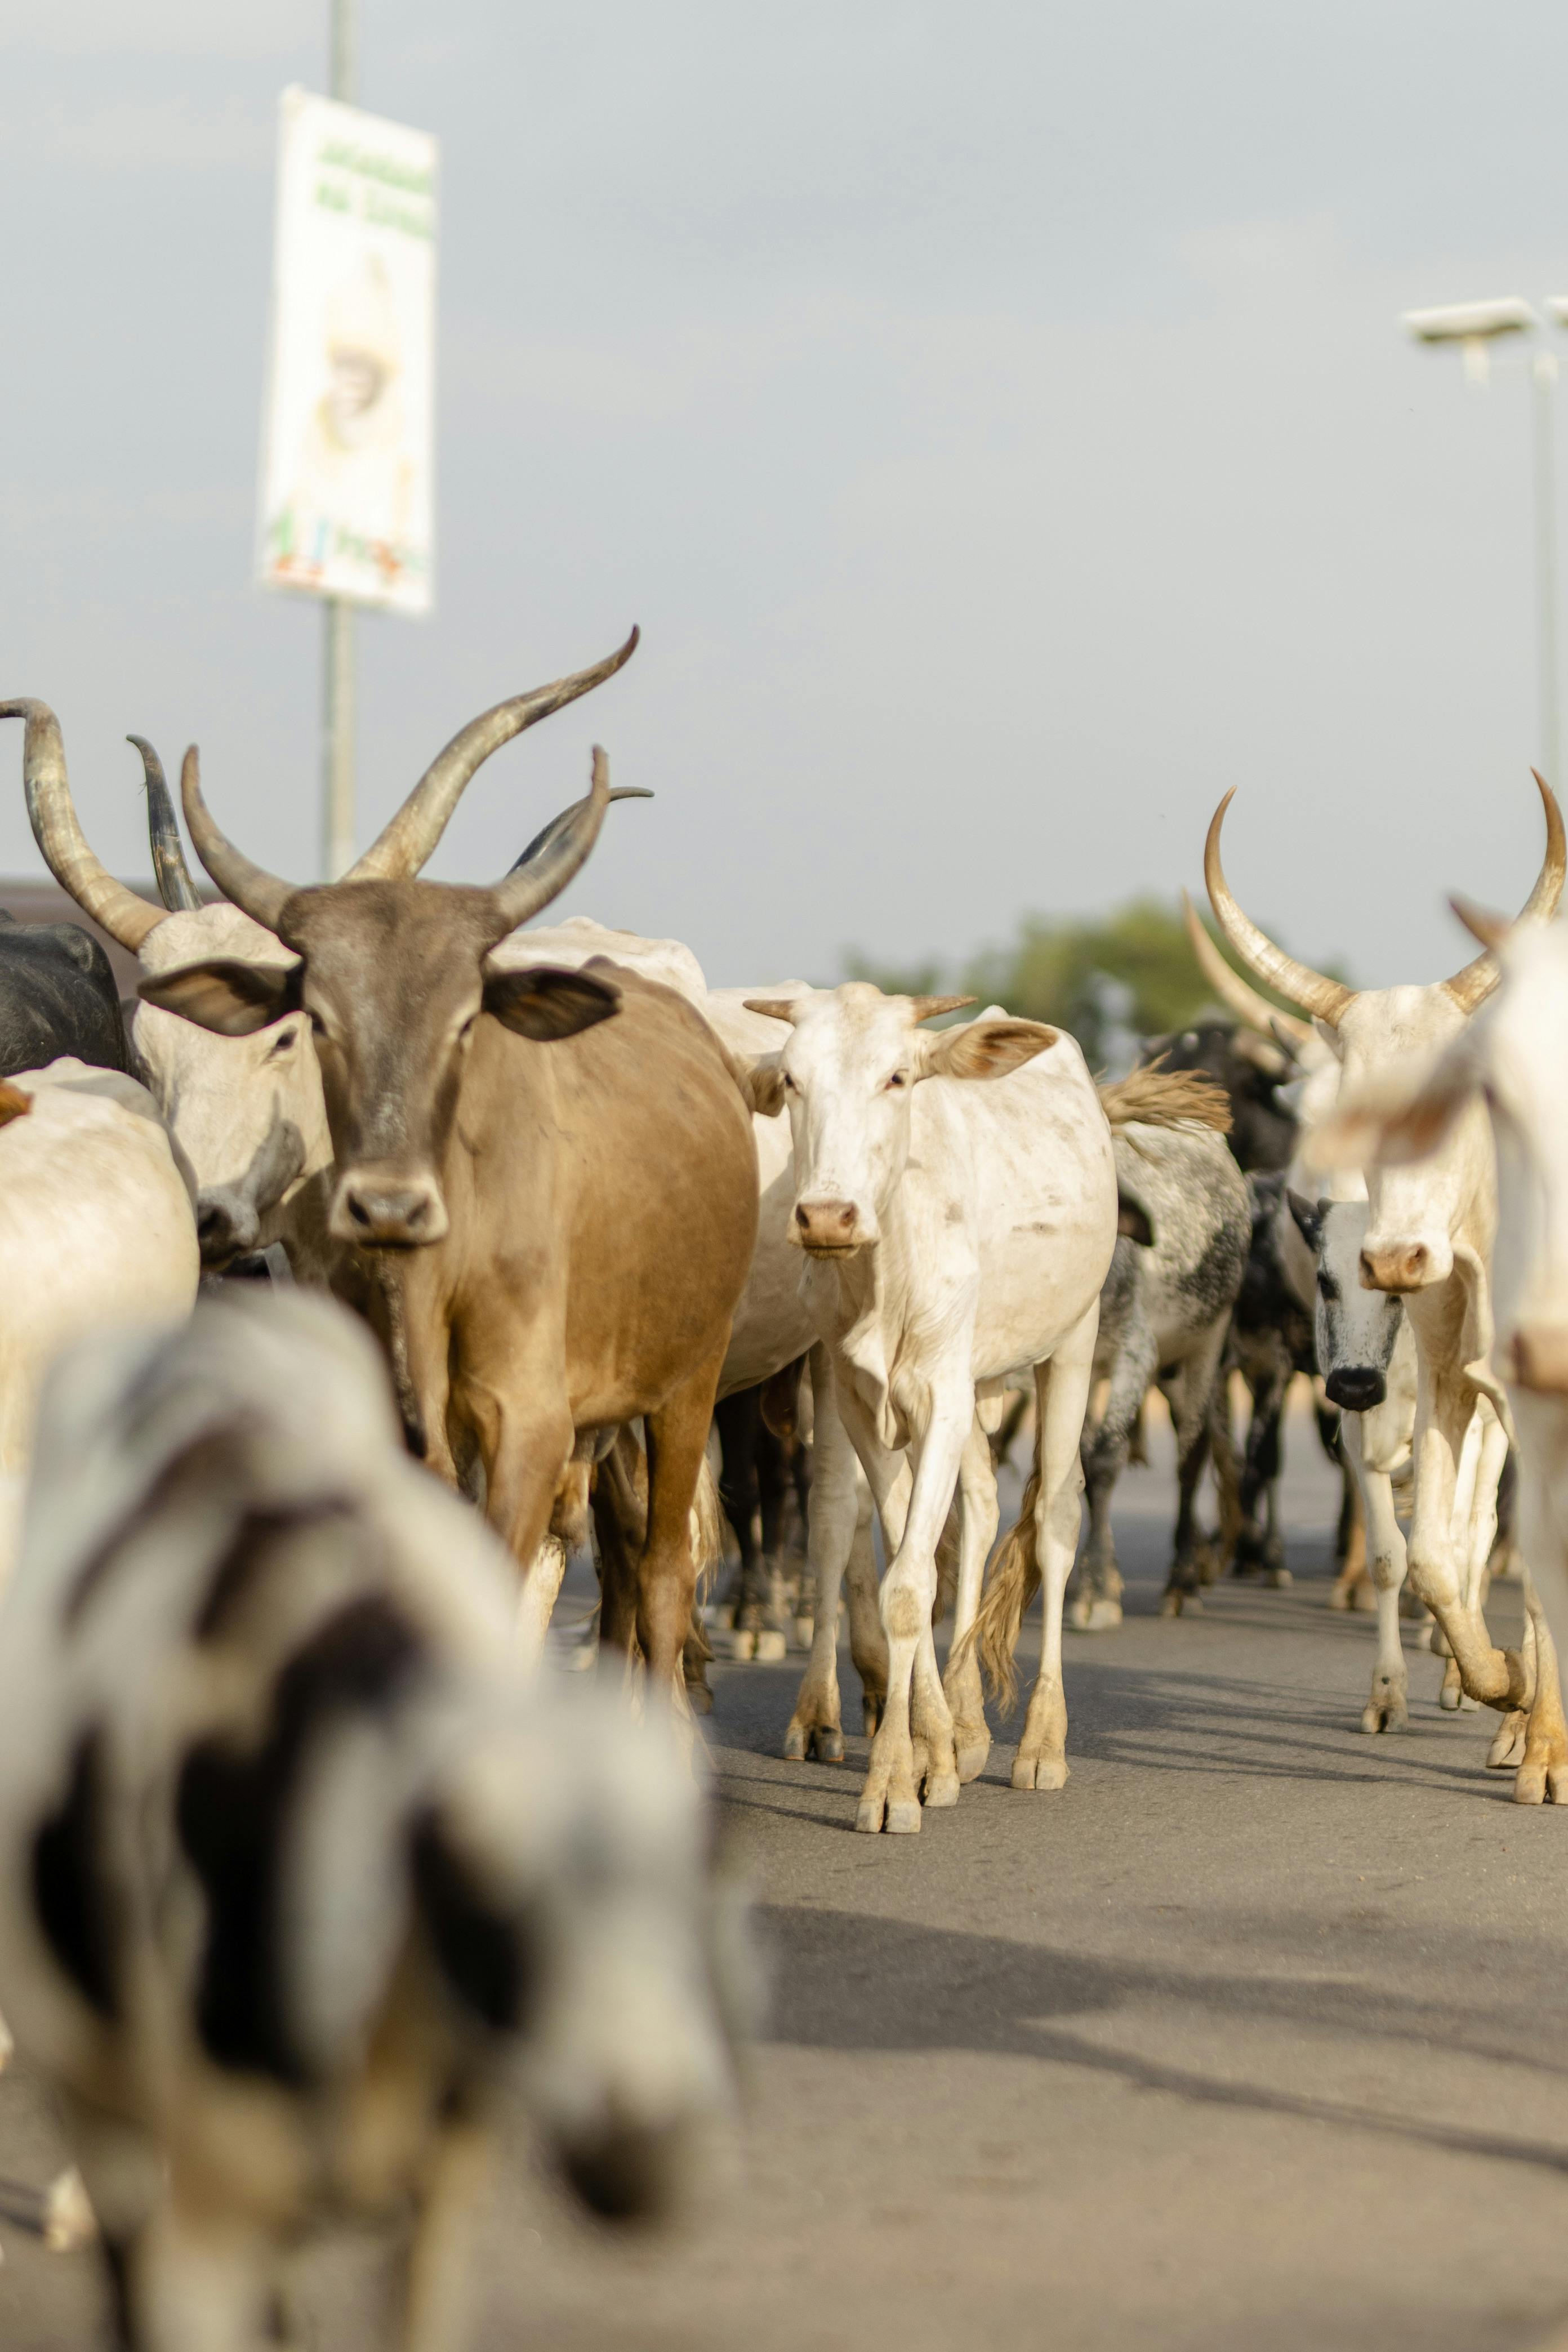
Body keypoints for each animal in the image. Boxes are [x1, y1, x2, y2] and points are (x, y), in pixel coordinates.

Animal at [747, 983, 1124, 1825]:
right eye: (791, 1080)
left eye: (897, 1077)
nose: (827, 1216)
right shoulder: (864, 1406)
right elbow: (903, 1565)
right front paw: (931, 1750)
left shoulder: (944, 1398)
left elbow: (909, 1585)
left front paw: (893, 1779)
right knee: (980, 1507)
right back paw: (966, 1720)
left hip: (1071, 1343)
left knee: (1055, 1520)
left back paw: (1041, 1740)